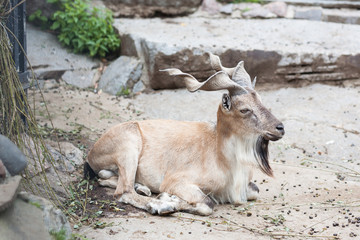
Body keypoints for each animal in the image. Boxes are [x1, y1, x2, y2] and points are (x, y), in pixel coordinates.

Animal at [84, 53, 284, 216]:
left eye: (261, 101)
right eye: (244, 109)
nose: (280, 127)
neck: (221, 157)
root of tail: (93, 151)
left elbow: (255, 191)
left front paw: (165, 197)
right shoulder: (178, 181)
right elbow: (207, 204)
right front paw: (166, 201)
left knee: (107, 178)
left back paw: (143, 188)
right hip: (128, 147)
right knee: (123, 191)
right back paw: (155, 203)